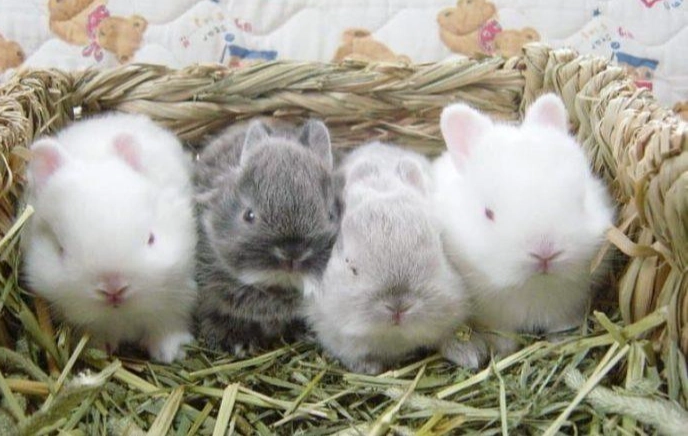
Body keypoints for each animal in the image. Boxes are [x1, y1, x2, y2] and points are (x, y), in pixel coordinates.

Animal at [21, 113, 198, 363]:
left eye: (151, 239)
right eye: (60, 250)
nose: (113, 289)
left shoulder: (179, 290)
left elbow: (167, 321)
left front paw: (168, 352)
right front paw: (101, 349)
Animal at [432, 93, 615, 362]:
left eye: (581, 200)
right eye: (488, 213)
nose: (545, 253)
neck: (534, 286)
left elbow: (561, 325)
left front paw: (561, 341)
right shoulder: (493, 316)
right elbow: (501, 334)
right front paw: (503, 349)